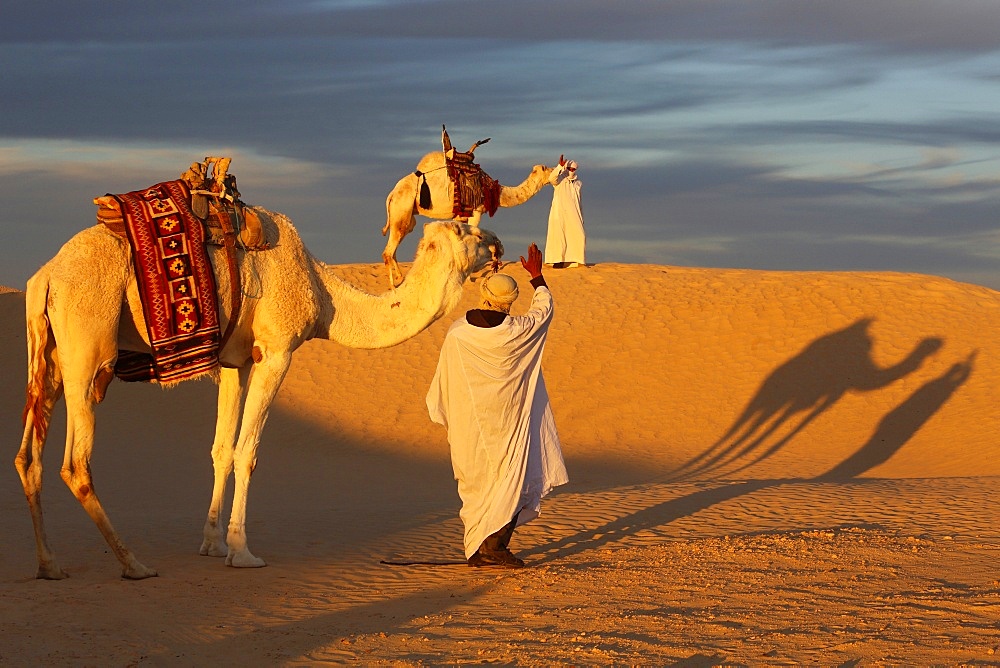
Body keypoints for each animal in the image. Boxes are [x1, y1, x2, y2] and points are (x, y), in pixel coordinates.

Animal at [13, 210, 500, 580]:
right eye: (466, 231)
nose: (497, 243)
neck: (321, 291)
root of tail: (45, 276)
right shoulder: (276, 350)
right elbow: (248, 451)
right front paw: (242, 551)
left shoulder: (236, 361)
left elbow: (221, 449)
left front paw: (211, 543)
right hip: (88, 348)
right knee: (76, 464)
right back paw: (133, 563)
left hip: (48, 356)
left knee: (27, 456)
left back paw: (49, 565)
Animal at [382, 150, 556, 286]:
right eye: (546, 169)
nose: (557, 169)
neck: (493, 190)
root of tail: (392, 194)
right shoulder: (476, 211)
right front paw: (470, 278)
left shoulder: (461, 216)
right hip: (401, 210)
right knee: (388, 252)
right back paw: (393, 287)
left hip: (406, 215)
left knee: (394, 247)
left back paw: (400, 278)